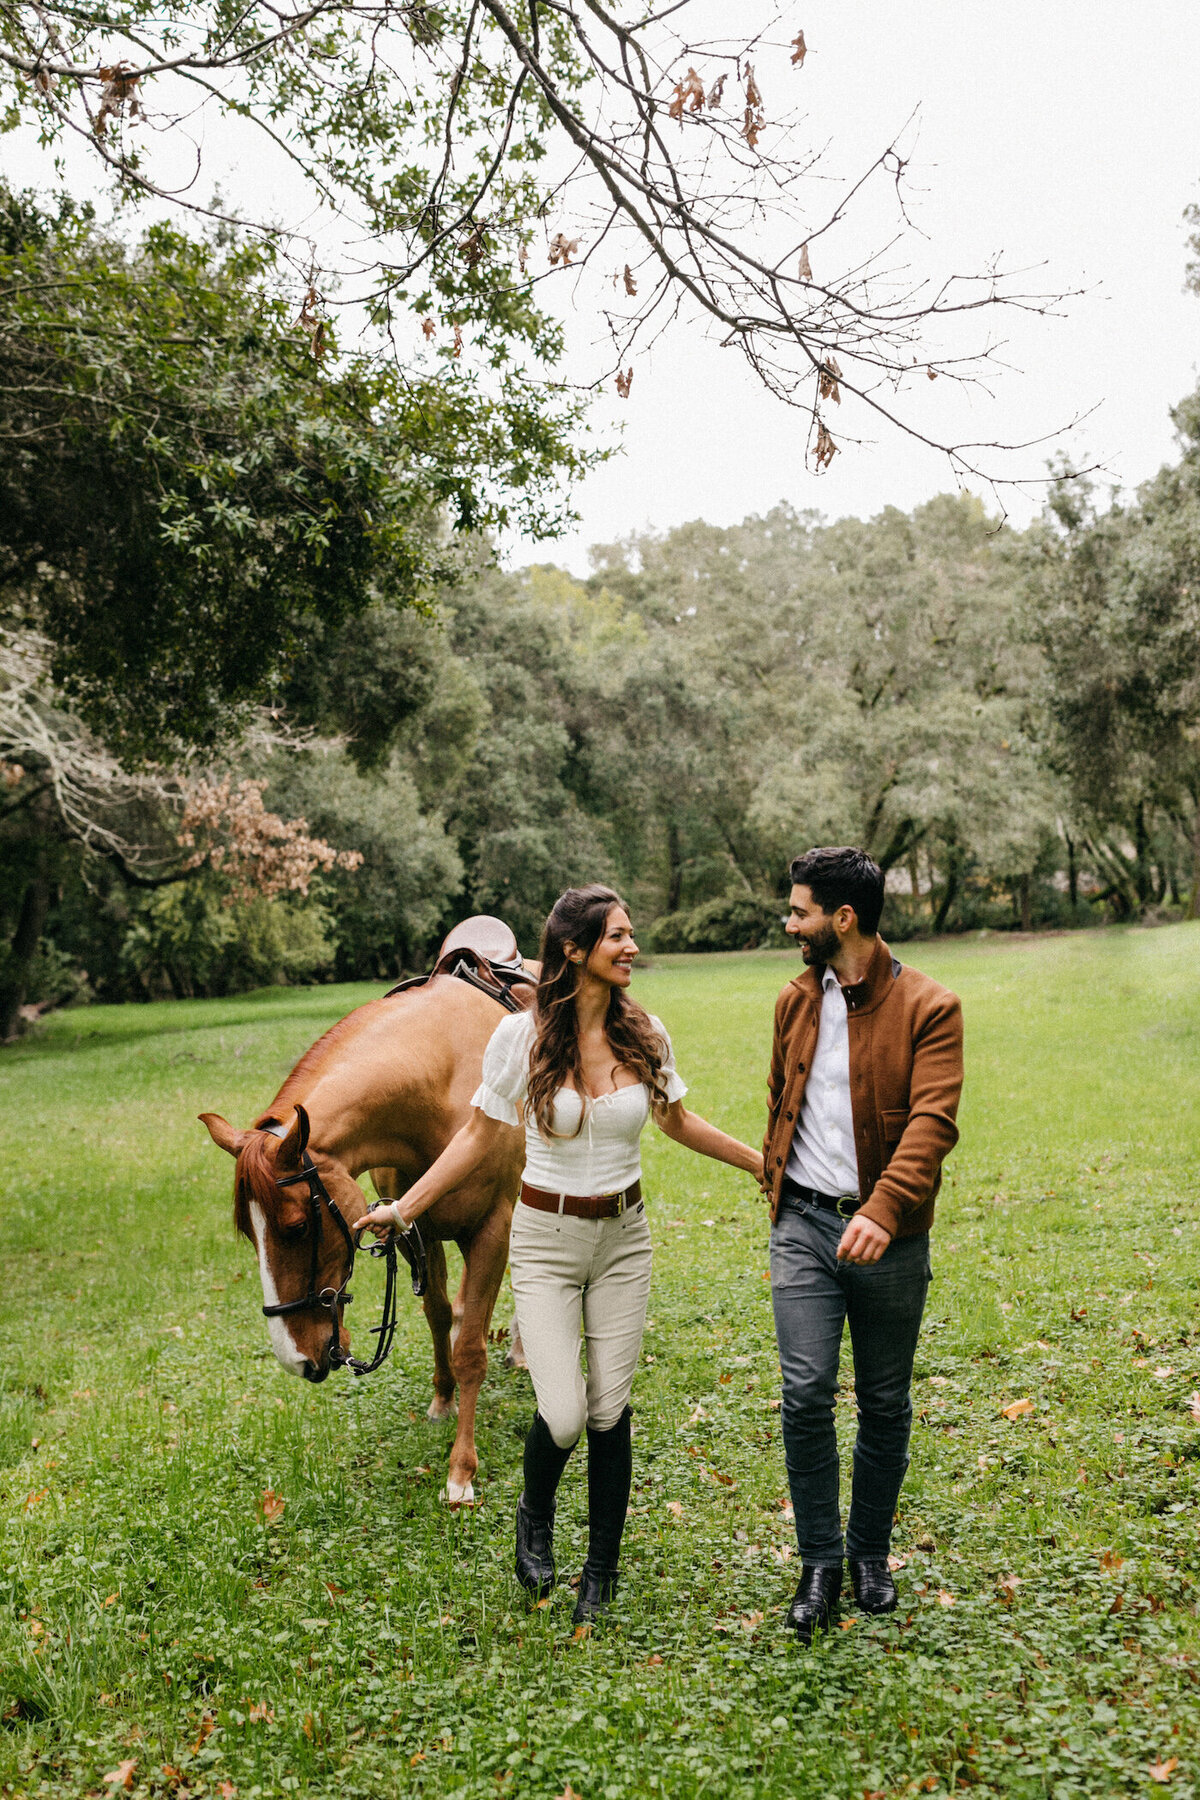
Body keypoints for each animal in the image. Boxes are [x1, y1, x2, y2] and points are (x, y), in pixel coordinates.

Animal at [201, 914, 536, 1504]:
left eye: (296, 1226)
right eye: (250, 1234)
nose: (295, 1359)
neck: (444, 1080)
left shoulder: (491, 1227)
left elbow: (471, 1348)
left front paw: (461, 1471)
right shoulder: (416, 1228)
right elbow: (440, 1316)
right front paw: (443, 1398)